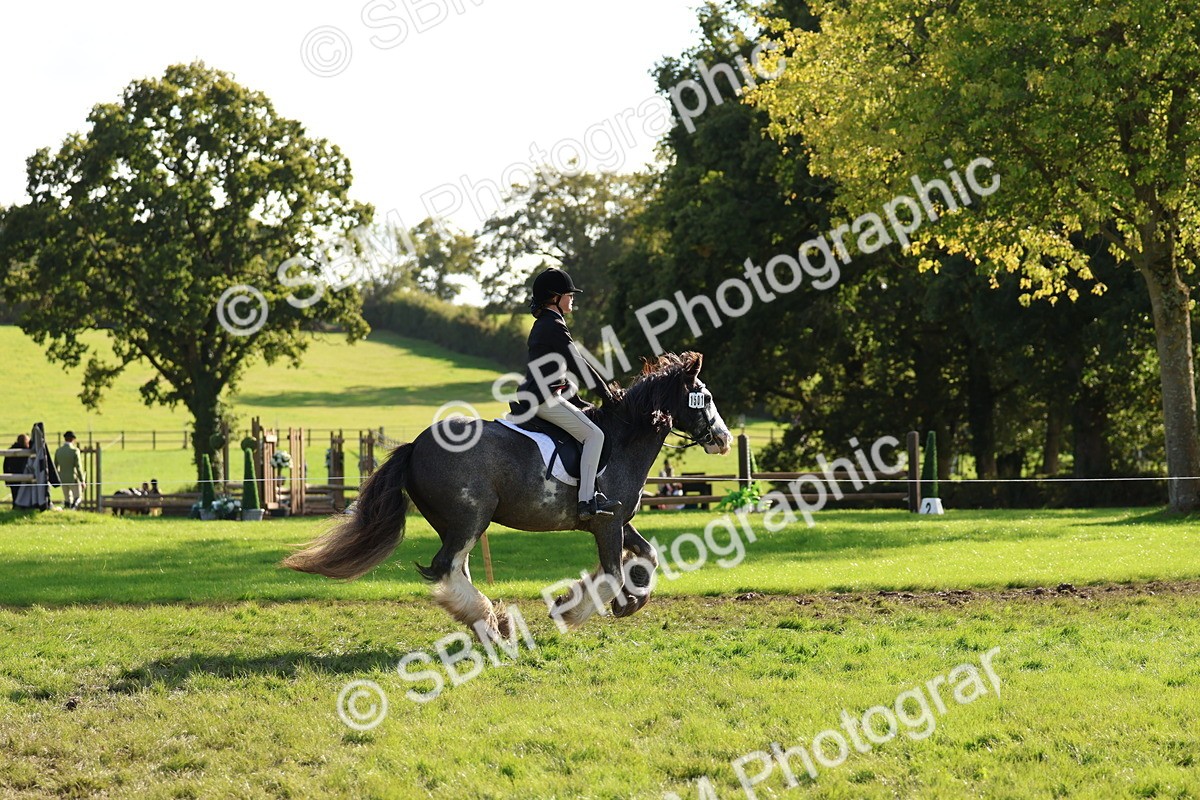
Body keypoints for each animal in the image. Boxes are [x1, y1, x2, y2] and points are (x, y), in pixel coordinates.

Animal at [282, 351, 733, 639]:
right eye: (707, 398)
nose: (724, 440)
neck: (624, 438)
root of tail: (415, 446)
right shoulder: (606, 523)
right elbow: (612, 572)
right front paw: (576, 610)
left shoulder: (619, 521)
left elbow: (646, 556)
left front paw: (630, 598)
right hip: (470, 519)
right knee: (446, 567)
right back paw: (491, 623)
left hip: (456, 524)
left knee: (456, 569)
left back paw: (490, 623)